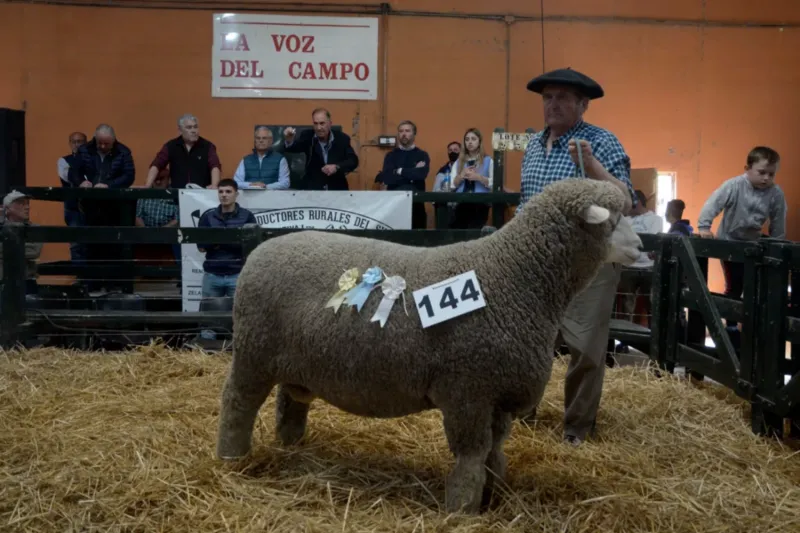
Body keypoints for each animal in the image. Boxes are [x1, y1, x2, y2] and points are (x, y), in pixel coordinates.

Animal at [216, 178, 640, 512]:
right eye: (612, 220)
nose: (640, 246)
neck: (515, 275)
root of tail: (259, 251)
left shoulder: (497, 396)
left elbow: (495, 453)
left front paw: (493, 493)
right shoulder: (468, 390)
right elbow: (472, 456)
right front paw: (463, 507)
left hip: (295, 363)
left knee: (290, 402)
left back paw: (291, 447)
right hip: (254, 352)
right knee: (238, 402)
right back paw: (232, 457)